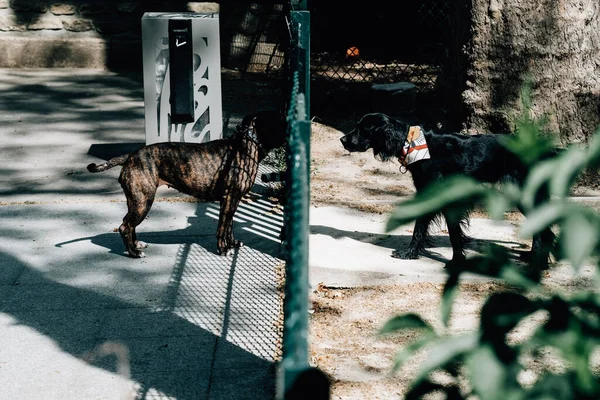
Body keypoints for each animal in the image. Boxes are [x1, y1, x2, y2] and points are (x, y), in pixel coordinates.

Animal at [86, 111, 286, 258]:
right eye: (278, 122)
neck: (245, 146)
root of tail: (131, 156)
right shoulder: (230, 199)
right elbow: (222, 227)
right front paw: (223, 249)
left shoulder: (231, 201)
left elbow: (229, 225)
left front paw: (232, 243)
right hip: (143, 202)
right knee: (125, 226)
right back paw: (134, 253)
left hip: (136, 201)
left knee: (130, 225)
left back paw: (136, 245)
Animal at [342, 112, 552, 264]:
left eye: (363, 128)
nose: (342, 140)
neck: (412, 144)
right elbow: (427, 229)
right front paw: (413, 253)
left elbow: (447, 232)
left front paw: (454, 261)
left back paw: (538, 260)